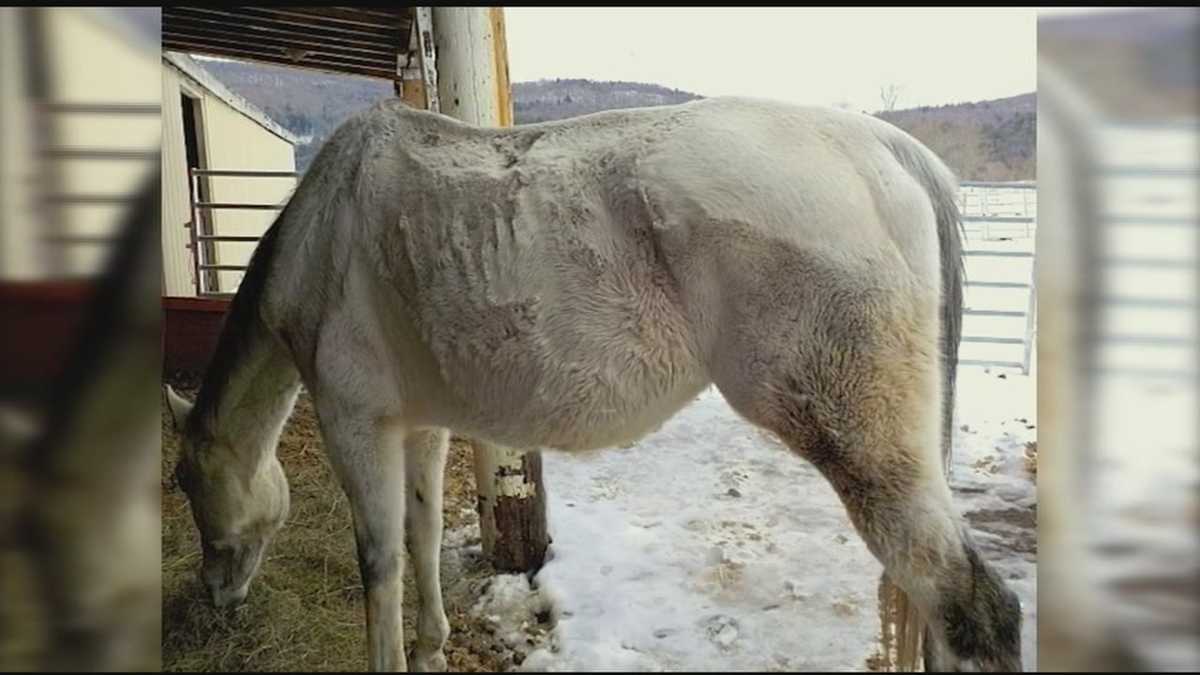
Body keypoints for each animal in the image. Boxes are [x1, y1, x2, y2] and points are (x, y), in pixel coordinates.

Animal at [162, 94, 1022, 667]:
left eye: (184, 481)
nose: (217, 596)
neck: (323, 233)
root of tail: (881, 150)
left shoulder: (352, 420)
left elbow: (379, 563)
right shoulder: (417, 426)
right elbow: (420, 535)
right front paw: (435, 646)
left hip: (869, 452)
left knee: (975, 610)